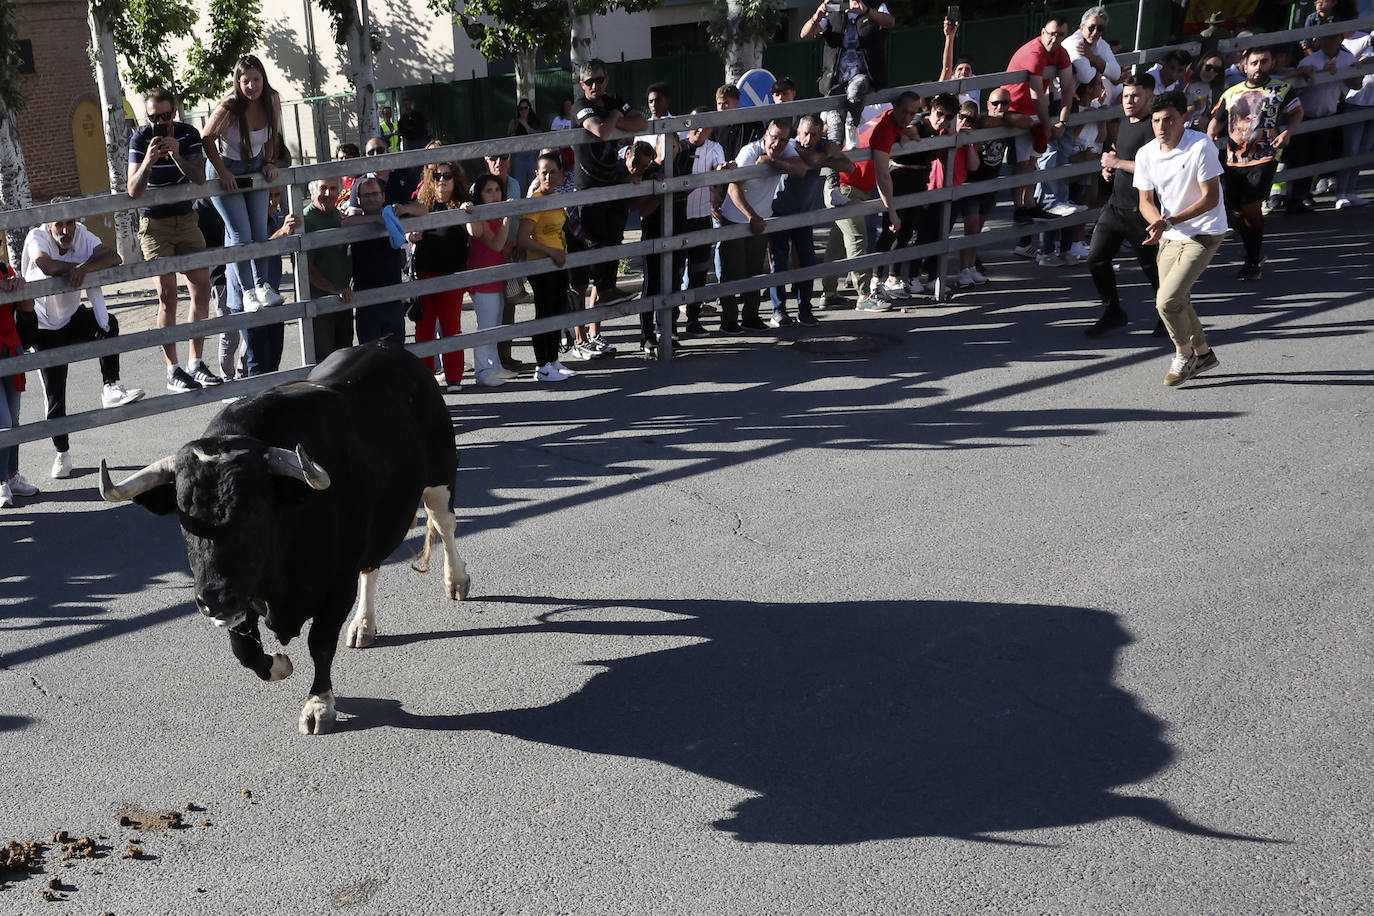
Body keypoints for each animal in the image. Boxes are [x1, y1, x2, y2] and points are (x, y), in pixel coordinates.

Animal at [99, 343, 469, 736]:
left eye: (254, 511)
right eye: (184, 517)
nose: (213, 599)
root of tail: (388, 346)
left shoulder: (335, 587)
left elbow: (320, 643)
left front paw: (319, 704)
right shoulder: (243, 594)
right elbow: (244, 651)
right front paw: (278, 664)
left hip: (441, 475)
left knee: (444, 524)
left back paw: (456, 581)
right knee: (372, 566)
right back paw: (363, 626)